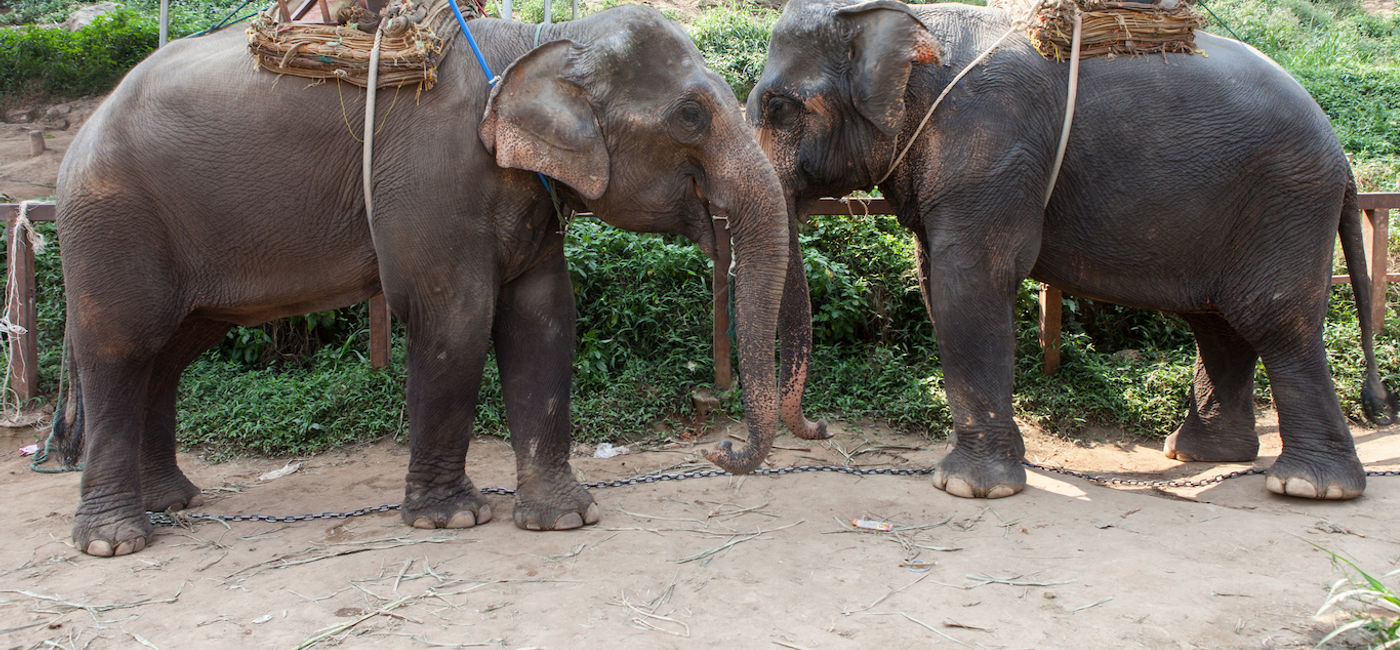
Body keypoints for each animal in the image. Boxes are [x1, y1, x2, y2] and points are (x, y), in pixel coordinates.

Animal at [52, 5, 808, 557]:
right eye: (691, 116)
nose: (719, 448)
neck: (541, 42)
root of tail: (84, 129)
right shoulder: (434, 181)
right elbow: (457, 318)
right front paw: (451, 521)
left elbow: (545, 318)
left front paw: (566, 520)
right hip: (112, 218)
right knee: (120, 347)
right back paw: (116, 541)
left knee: (170, 352)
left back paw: (172, 501)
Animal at [747, 0, 1394, 500]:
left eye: (780, 107)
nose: (822, 428)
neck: (912, 27)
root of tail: (1341, 156)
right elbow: (935, 281)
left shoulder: (992, 148)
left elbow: (969, 282)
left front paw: (969, 487)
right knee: (1220, 322)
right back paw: (1199, 455)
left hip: (1286, 203)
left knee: (1274, 318)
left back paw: (1308, 486)